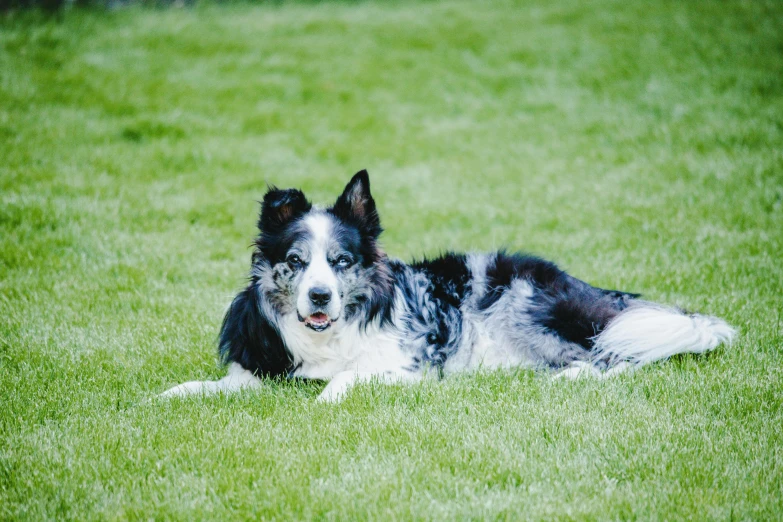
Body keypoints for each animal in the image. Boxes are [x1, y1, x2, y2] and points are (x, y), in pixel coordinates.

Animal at [162, 169, 740, 400]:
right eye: (296, 262)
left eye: (341, 261)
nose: (320, 296)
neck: (326, 335)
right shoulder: (258, 370)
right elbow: (212, 385)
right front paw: (170, 394)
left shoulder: (407, 368)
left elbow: (344, 378)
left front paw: (326, 398)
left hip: (528, 306)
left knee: (613, 357)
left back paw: (570, 377)